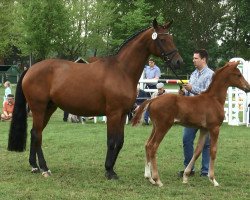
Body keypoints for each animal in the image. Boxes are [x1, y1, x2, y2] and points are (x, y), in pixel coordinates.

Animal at [7, 19, 184, 180]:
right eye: (162, 39)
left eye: (172, 38)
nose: (179, 62)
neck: (122, 71)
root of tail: (30, 69)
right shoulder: (113, 113)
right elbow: (111, 141)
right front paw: (109, 171)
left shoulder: (122, 114)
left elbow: (120, 141)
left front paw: (111, 169)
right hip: (38, 108)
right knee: (37, 134)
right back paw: (44, 168)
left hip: (49, 108)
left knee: (34, 133)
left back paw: (34, 166)